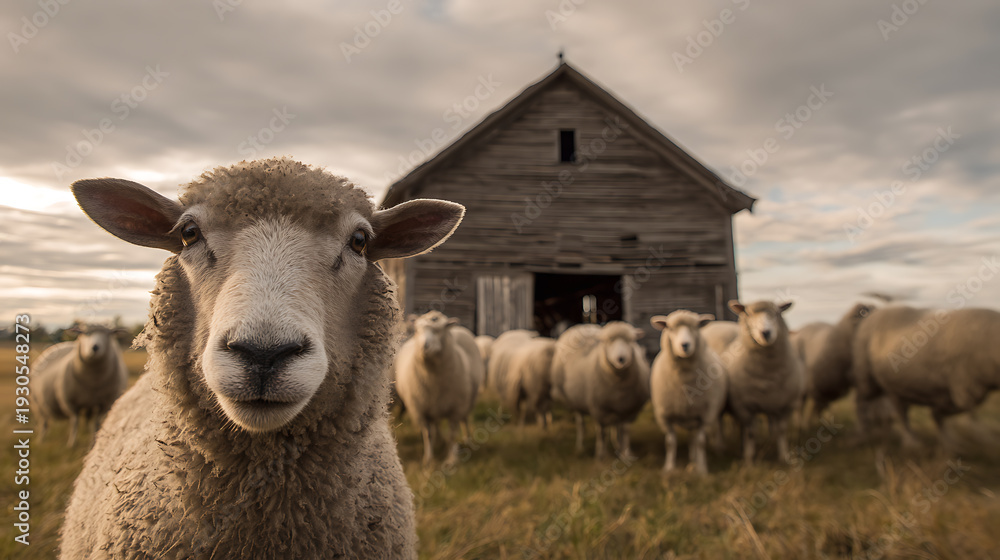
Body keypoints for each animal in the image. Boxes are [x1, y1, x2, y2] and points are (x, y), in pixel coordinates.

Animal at [394, 311, 484, 466]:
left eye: (438, 330)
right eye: (417, 330)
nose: (424, 346)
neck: (433, 379)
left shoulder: (456, 408)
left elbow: (452, 433)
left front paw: (451, 459)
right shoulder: (420, 409)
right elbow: (428, 434)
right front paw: (428, 459)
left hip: (466, 402)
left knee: (465, 420)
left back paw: (466, 440)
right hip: (432, 405)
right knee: (435, 425)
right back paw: (438, 441)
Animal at [550, 322, 650, 460]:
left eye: (631, 340)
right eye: (608, 341)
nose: (621, 359)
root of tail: (582, 325)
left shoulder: (629, 409)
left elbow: (625, 431)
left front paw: (626, 454)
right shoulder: (599, 409)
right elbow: (601, 432)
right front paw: (601, 456)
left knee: (616, 426)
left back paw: (617, 444)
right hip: (575, 400)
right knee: (581, 424)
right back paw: (580, 446)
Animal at [649, 311, 726, 474]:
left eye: (696, 326)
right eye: (670, 328)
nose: (685, 345)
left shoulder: (705, 415)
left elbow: (701, 442)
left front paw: (702, 470)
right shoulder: (664, 415)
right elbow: (670, 442)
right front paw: (669, 468)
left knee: (697, 438)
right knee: (691, 438)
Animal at [724, 300, 805, 465]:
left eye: (777, 313)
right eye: (748, 313)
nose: (766, 333)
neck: (767, 376)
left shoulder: (786, 405)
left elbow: (781, 430)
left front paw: (783, 457)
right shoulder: (744, 407)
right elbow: (750, 432)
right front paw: (749, 460)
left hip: (772, 403)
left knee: (772, 424)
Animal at [852, 305, 1000, 451]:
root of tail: (872, 315)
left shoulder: (956, 390)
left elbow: (944, 413)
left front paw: (950, 442)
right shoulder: (963, 386)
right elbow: (968, 414)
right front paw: (981, 437)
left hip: (896, 385)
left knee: (900, 410)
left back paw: (909, 439)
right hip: (867, 377)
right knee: (861, 400)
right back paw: (863, 434)